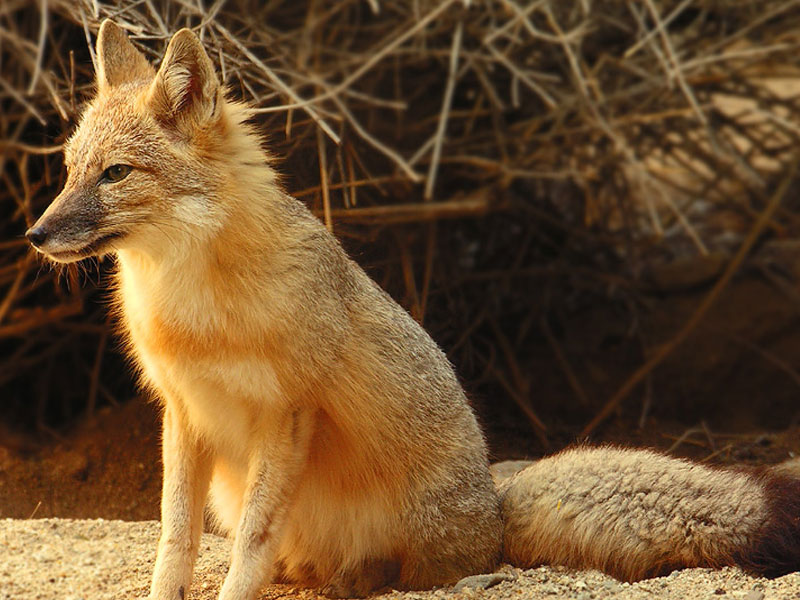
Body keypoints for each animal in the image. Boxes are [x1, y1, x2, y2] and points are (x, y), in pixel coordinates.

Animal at [25, 19, 800, 600]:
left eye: (114, 174)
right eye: (68, 170)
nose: (34, 234)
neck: (192, 310)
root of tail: (494, 503)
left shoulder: (287, 413)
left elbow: (251, 538)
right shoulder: (184, 412)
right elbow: (174, 537)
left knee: (411, 572)